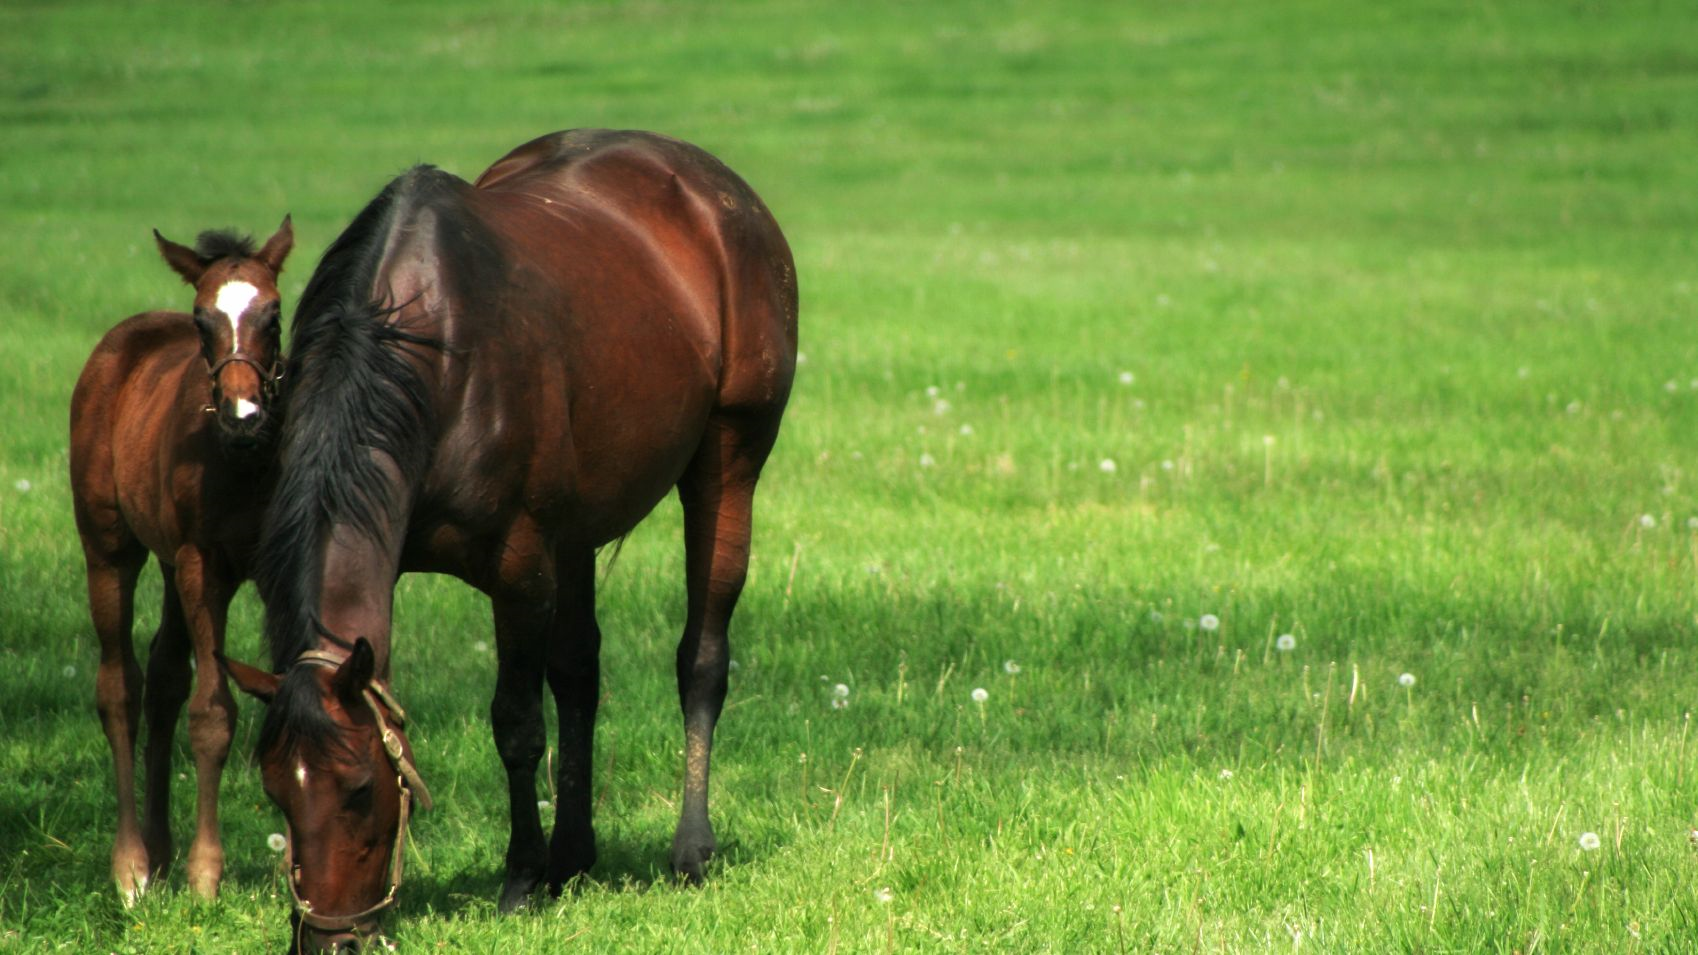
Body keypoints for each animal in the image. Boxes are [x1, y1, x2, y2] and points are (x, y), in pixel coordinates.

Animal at [70, 218, 294, 904]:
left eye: (274, 314)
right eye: (202, 320)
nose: (245, 416)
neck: (242, 461)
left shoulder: (278, 567)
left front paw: (296, 869)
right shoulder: (203, 563)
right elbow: (213, 713)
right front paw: (205, 876)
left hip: (170, 567)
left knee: (165, 678)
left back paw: (160, 850)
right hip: (109, 547)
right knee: (120, 687)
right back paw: (133, 868)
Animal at [219, 129, 797, 951]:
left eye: (360, 789)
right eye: (275, 789)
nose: (332, 940)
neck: (427, 353)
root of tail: (714, 185)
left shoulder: (520, 569)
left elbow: (518, 723)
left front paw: (521, 878)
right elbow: (560, 686)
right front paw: (548, 866)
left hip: (729, 462)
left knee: (702, 658)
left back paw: (690, 847)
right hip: (578, 528)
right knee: (581, 671)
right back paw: (576, 854)